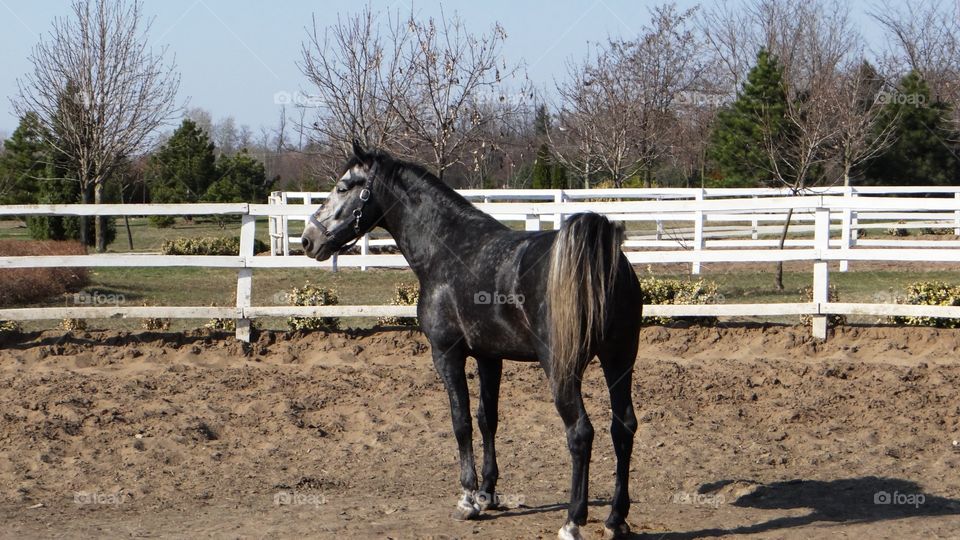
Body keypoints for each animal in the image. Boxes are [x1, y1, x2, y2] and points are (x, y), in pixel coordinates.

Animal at [302, 141, 644, 536]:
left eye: (343, 187)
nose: (308, 239)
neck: (449, 248)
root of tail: (601, 260)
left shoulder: (446, 354)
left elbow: (460, 420)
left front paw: (467, 498)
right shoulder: (489, 356)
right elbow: (487, 418)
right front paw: (487, 492)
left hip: (562, 369)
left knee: (580, 433)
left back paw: (573, 521)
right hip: (619, 360)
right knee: (623, 428)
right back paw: (616, 519)